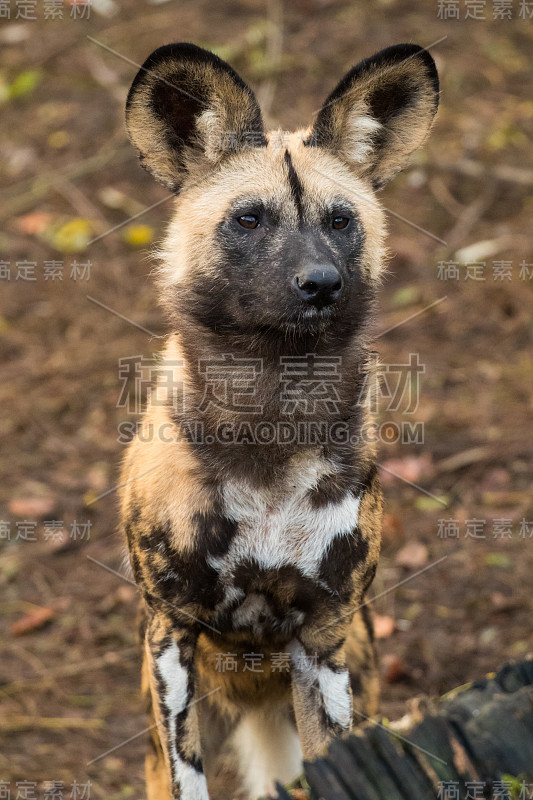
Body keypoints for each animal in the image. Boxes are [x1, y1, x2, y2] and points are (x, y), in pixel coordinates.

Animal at [122, 43, 438, 800]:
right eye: (248, 220)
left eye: (340, 221)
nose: (320, 282)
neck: (271, 420)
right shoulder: (170, 636)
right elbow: (188, 778)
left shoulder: (322, 642)